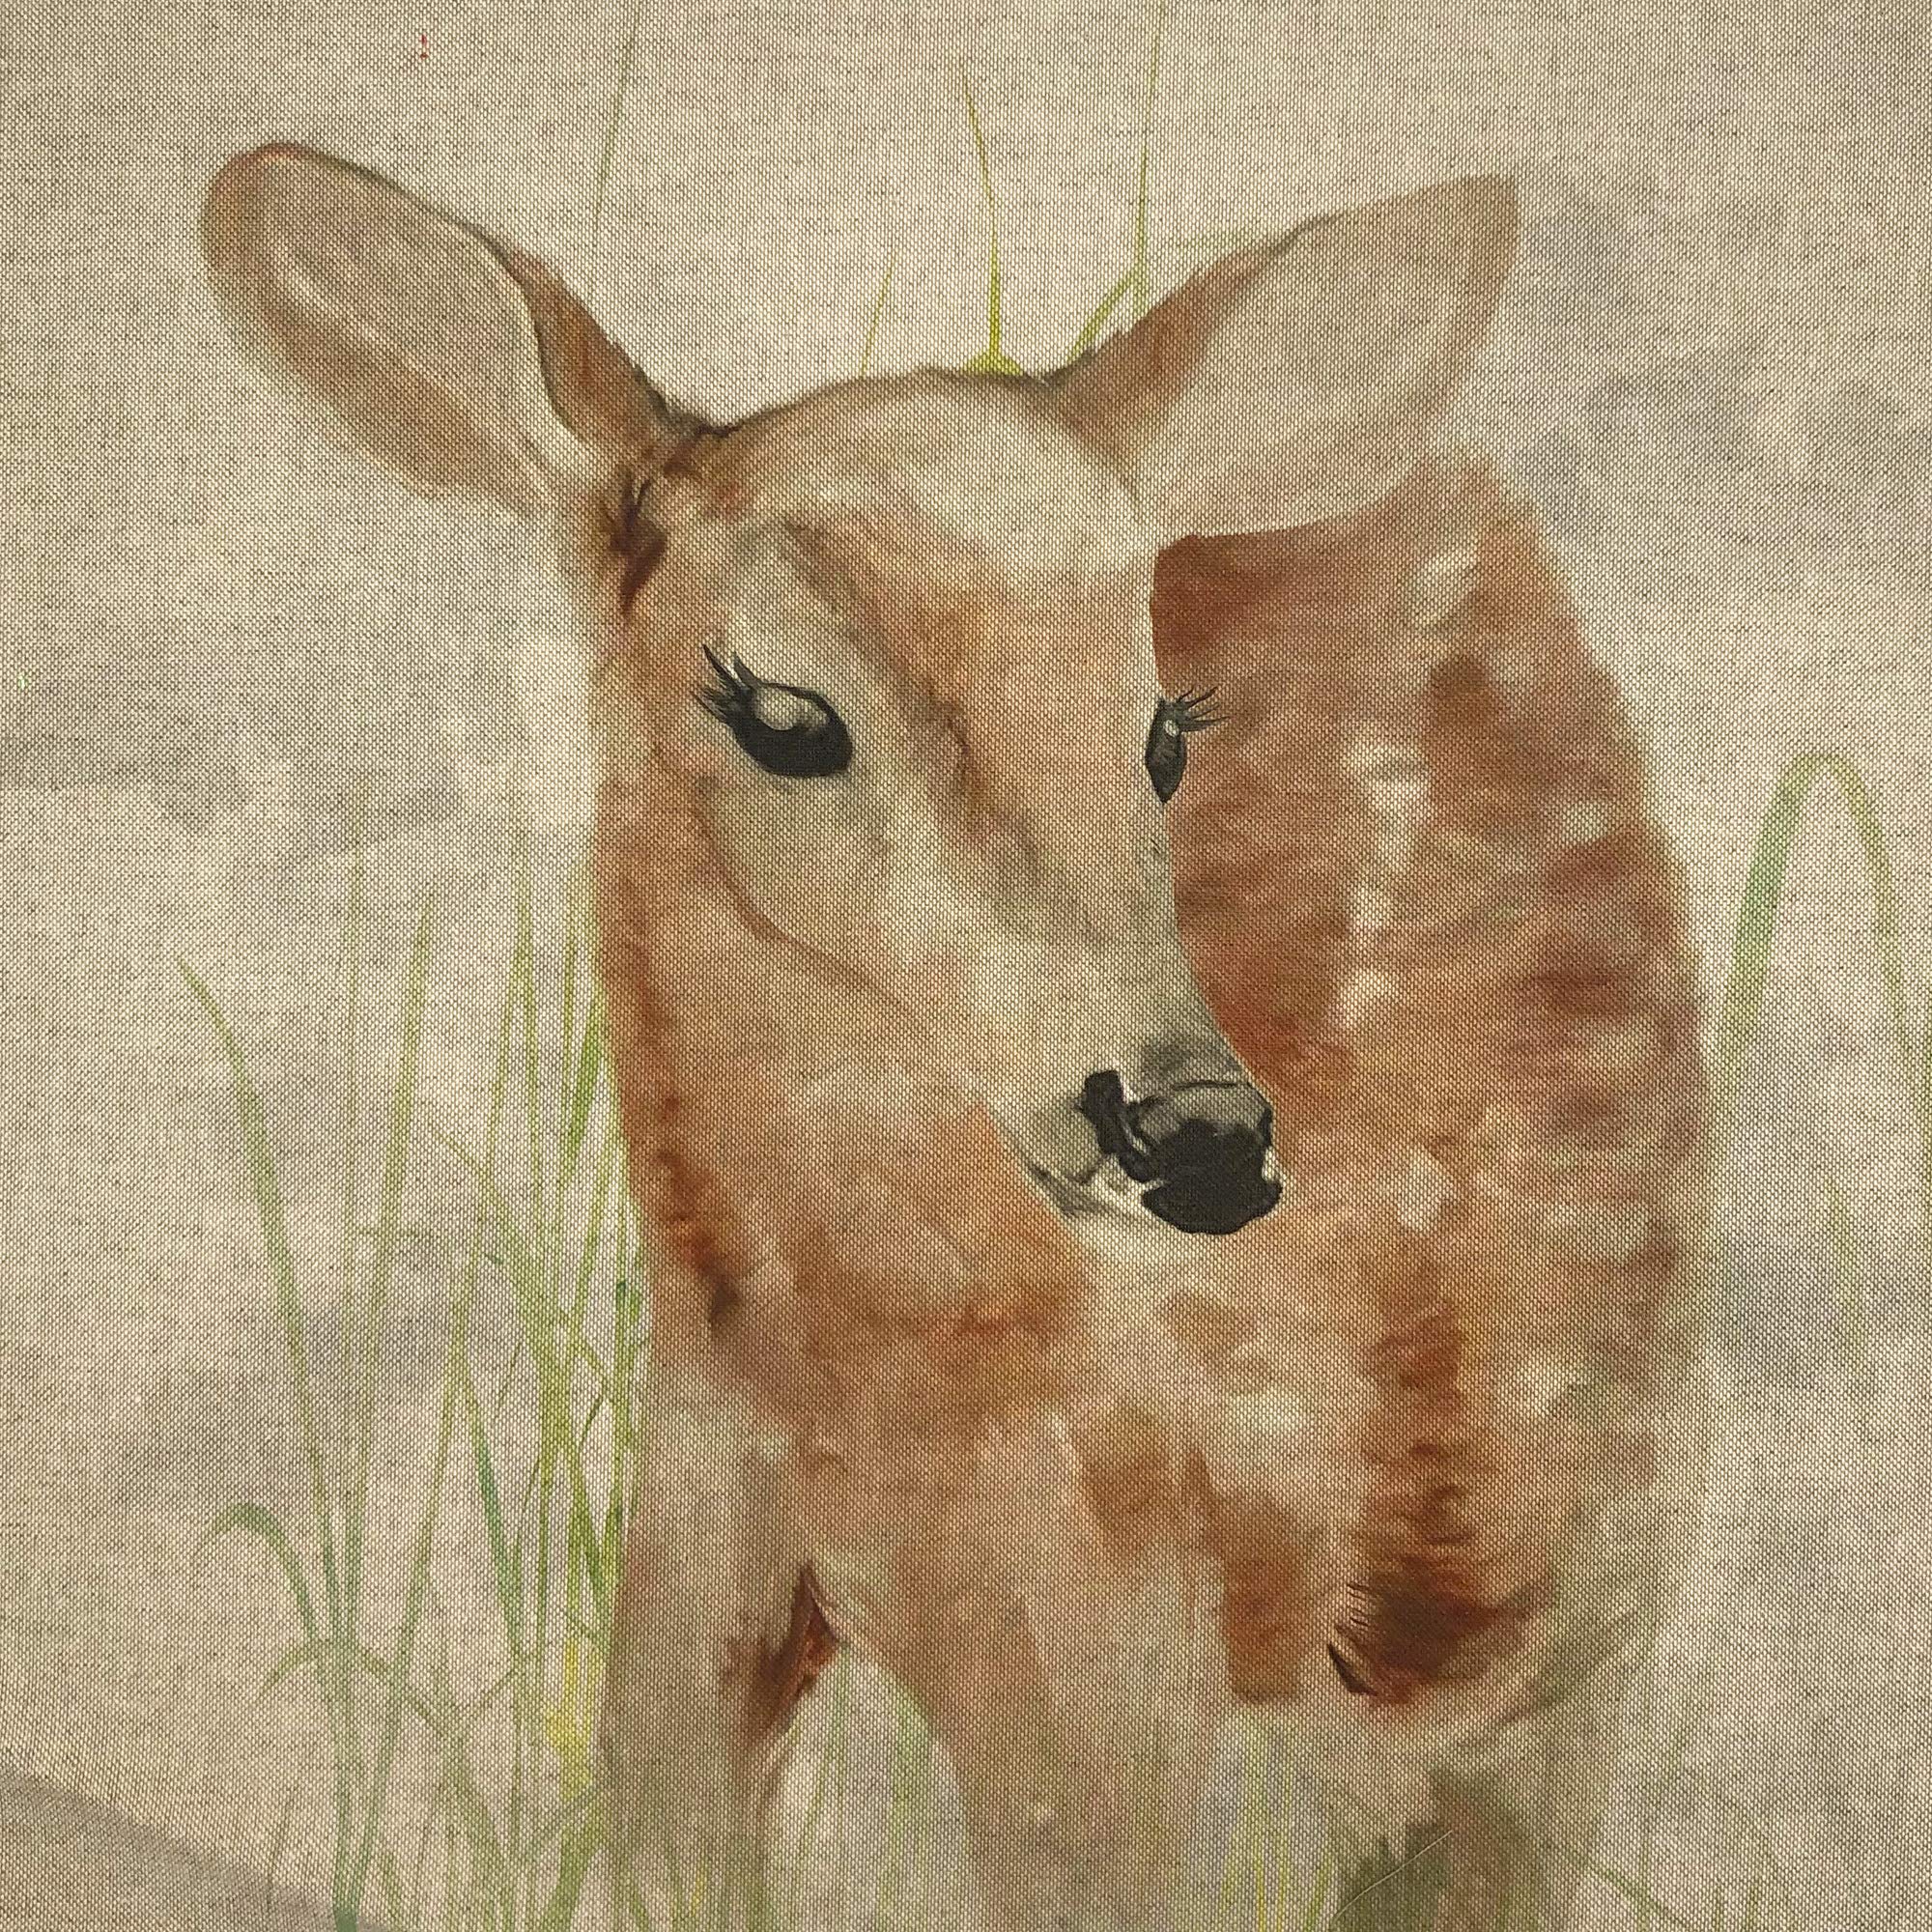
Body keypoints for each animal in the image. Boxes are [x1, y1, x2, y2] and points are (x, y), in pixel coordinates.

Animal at [201, 142, 1712, 1932]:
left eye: (1159, 732)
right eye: (783, 713)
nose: (1199, 1132)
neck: (881, 1372)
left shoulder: (1114, 1649)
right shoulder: (706, 1529)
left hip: (1557, 1567)